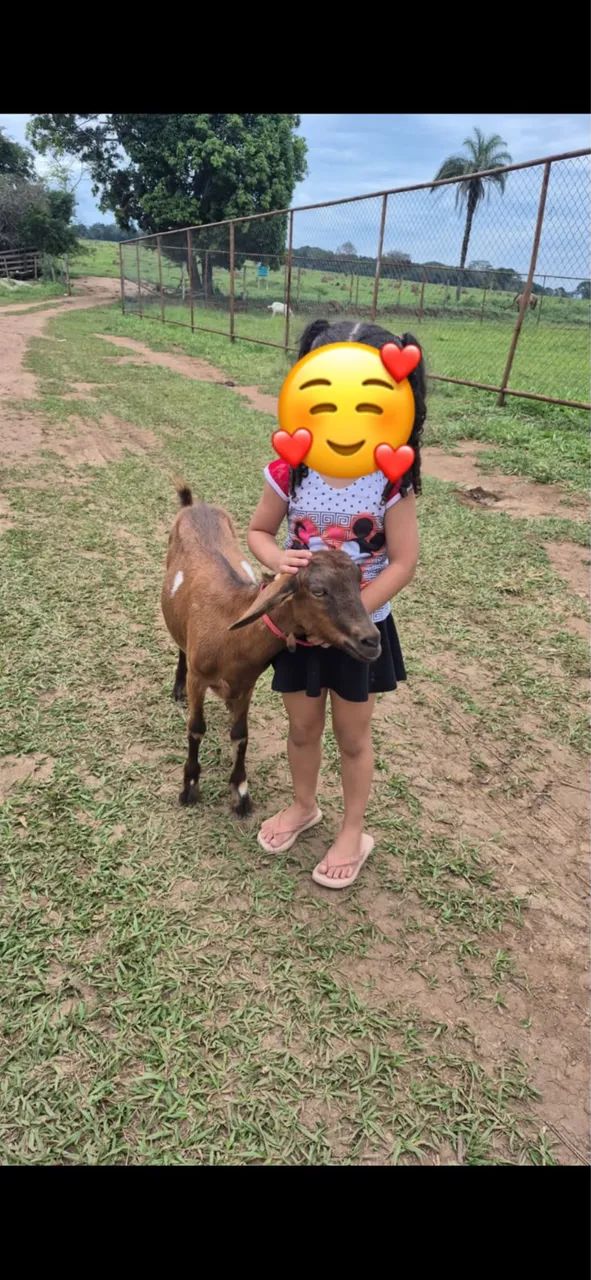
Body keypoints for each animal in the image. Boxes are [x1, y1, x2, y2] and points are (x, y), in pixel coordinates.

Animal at [161, 486, 381, 816]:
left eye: (358, 581)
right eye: (318, 591)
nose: (372, 640)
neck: (229, 635)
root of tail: (194, 505)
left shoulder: (245, 685)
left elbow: (240, 734)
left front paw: (240, 793)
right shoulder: (199, 679)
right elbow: (196, 728)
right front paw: (189, 788)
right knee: (181, 646)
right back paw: (177, 688)